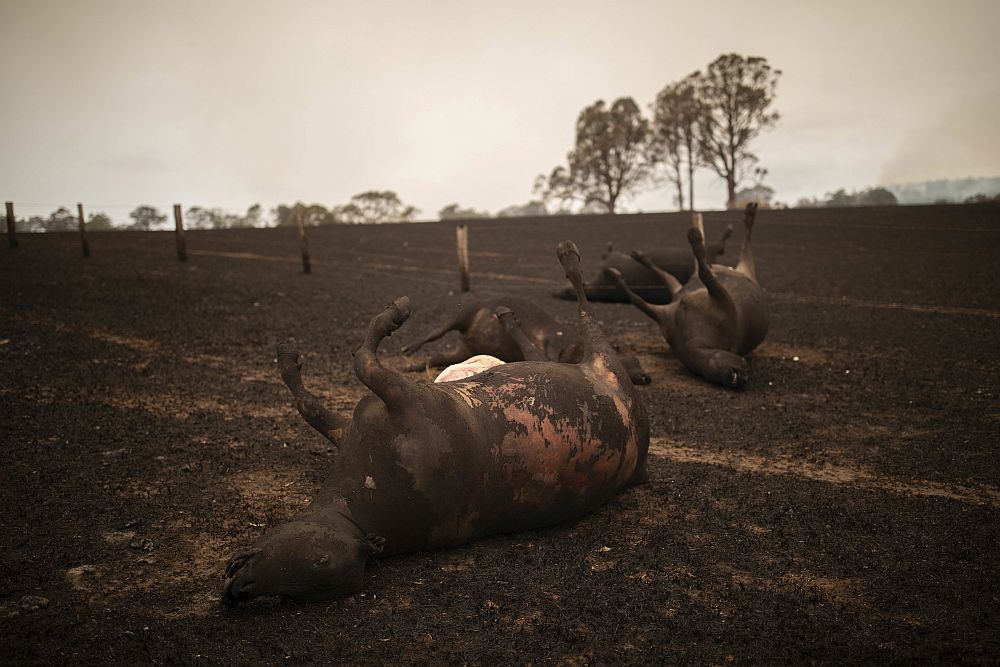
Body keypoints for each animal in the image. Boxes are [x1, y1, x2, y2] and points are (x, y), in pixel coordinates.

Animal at [220, 240, 652, 604]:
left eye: (318, 562)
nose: (240, 588)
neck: (357, 516)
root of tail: (641, 462)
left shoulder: (395, 396)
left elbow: (361, 359)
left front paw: (394, 314)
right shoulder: (351, 428)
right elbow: (309, 404)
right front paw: (288, 360)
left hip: (604, 357)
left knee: (582, 305)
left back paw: (566, 259)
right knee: (533, 348)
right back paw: (509, 314)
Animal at [604, 206, 768, 388]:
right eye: (738, 373)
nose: (744, 377)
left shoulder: (722, 301)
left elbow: (704, 272)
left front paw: (695, 239)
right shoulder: (666, 313)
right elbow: (636, 299)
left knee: (741, 246)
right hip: (681, 287)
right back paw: (636, 259)